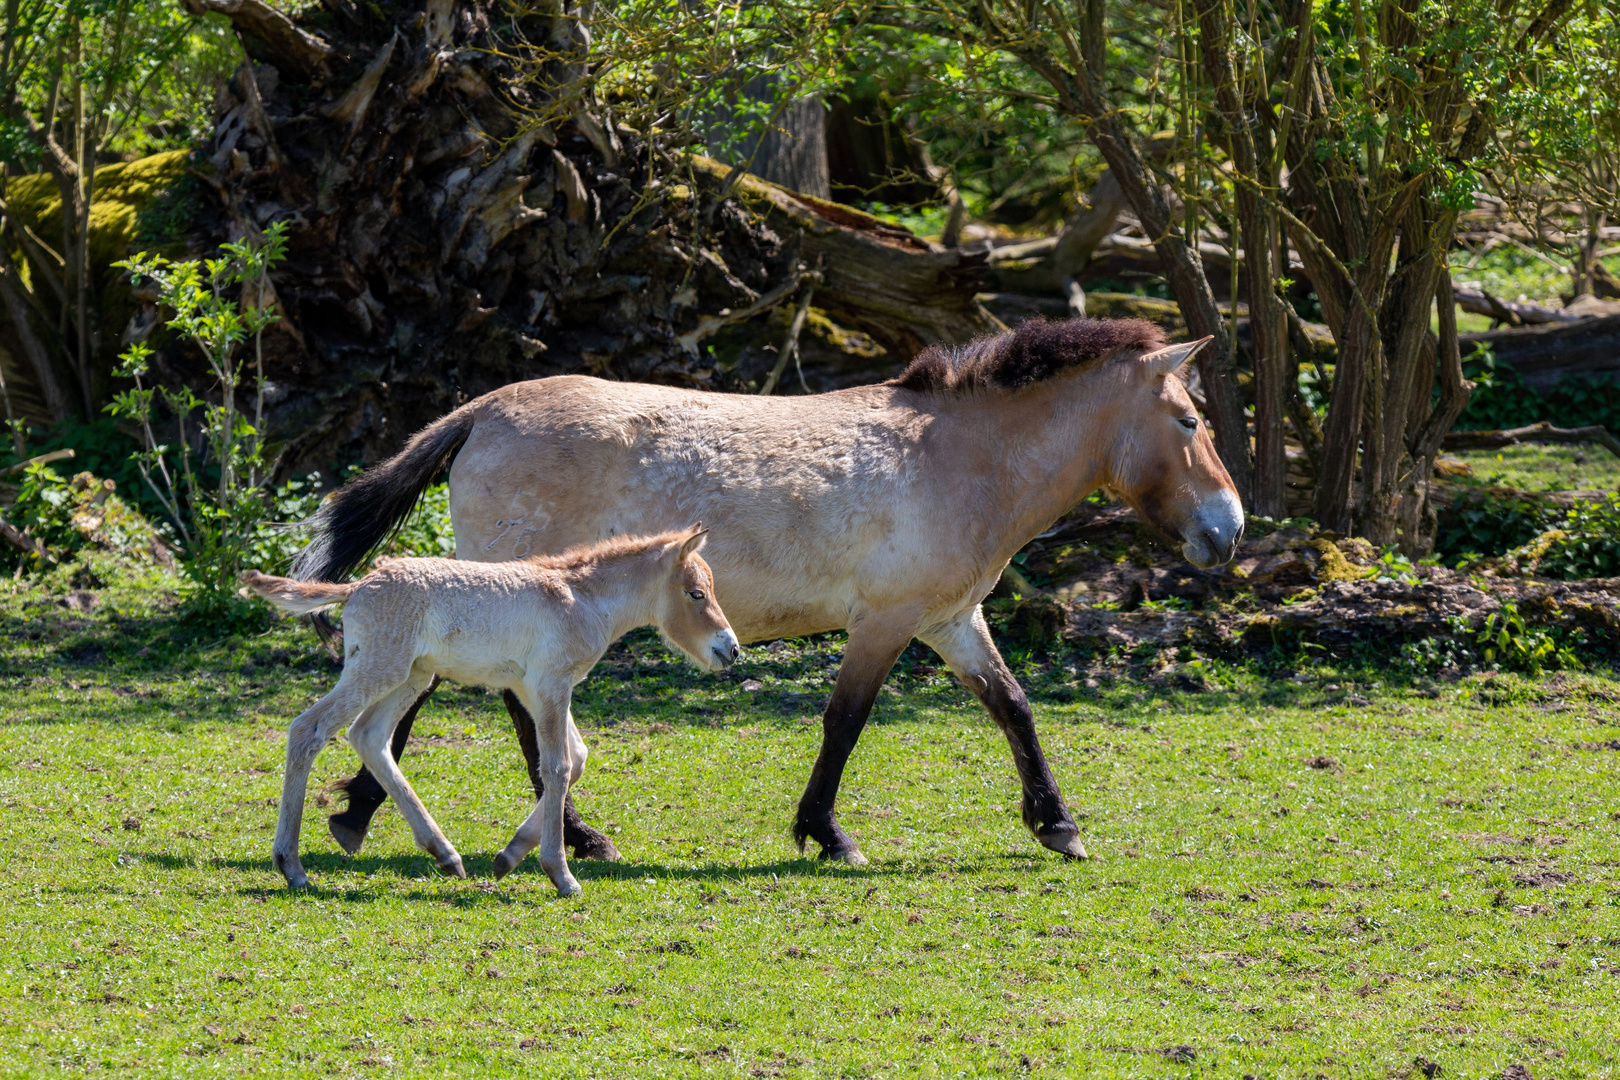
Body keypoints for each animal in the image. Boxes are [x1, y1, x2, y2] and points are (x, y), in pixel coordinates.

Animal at [239, 527, 735, 900]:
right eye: (696, 593)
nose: (729, 649)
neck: (582, 597)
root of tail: (358, 585)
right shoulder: (551, 684)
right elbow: (556, 767)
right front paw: (561, 875)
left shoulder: (534, 687)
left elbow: (576, 760)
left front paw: (509, 856)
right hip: (381, 668)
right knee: (309, 729)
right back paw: (291, 867)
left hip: (413, 675)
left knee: (369, 736)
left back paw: (445, 854)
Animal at [298, 317, 1244, 867]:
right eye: (1190, 420)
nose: (1229, 530)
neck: (960, 456)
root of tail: (482, 412)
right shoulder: (888, 622)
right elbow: (845, 722)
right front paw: (828, 835)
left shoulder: (952, 619)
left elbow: (1013, 706)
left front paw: (1056, 824)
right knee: (478, 706)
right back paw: (533, 833)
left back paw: (389, 819)